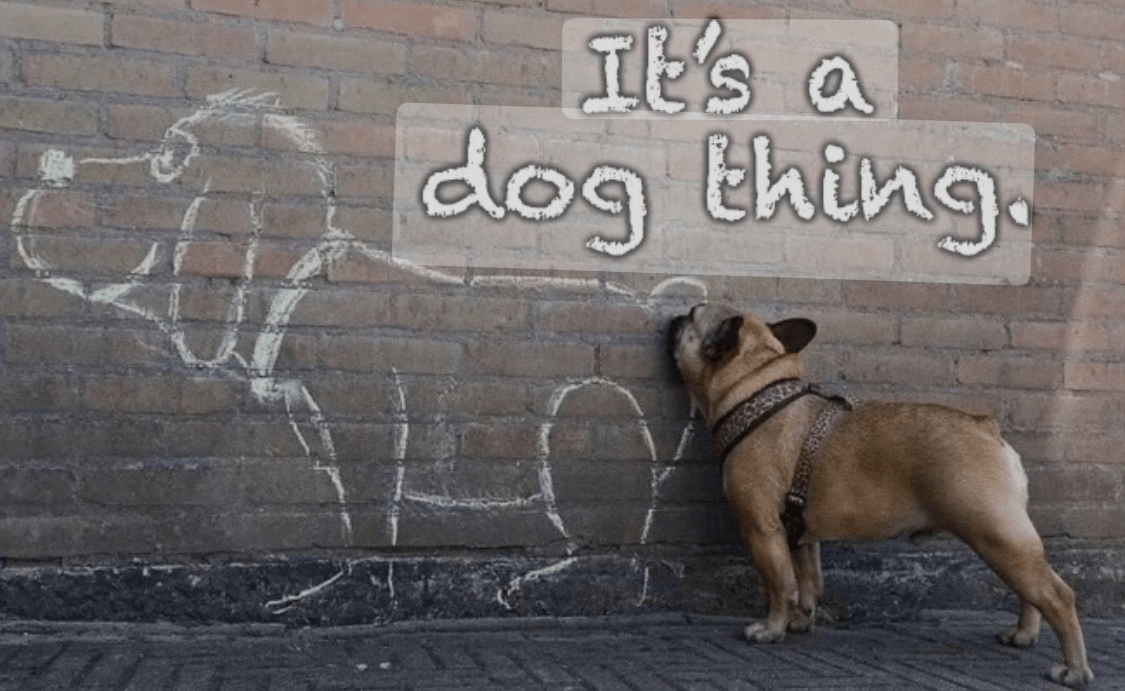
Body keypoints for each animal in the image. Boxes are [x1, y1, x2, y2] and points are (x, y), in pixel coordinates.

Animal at [666, 306, 1089, 688]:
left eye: (691, 316)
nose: (674, 316)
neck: (753, 391)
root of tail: (986, 429)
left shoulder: (760, 529)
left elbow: (778, 584)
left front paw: (771, 629)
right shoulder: (799, 535)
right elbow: (806, 581)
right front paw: (801, 621)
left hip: (995, 534)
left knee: (1057, 596)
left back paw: (1073, 670)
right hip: (1006, 541)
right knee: (1030, 591)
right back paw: (1023, 635)